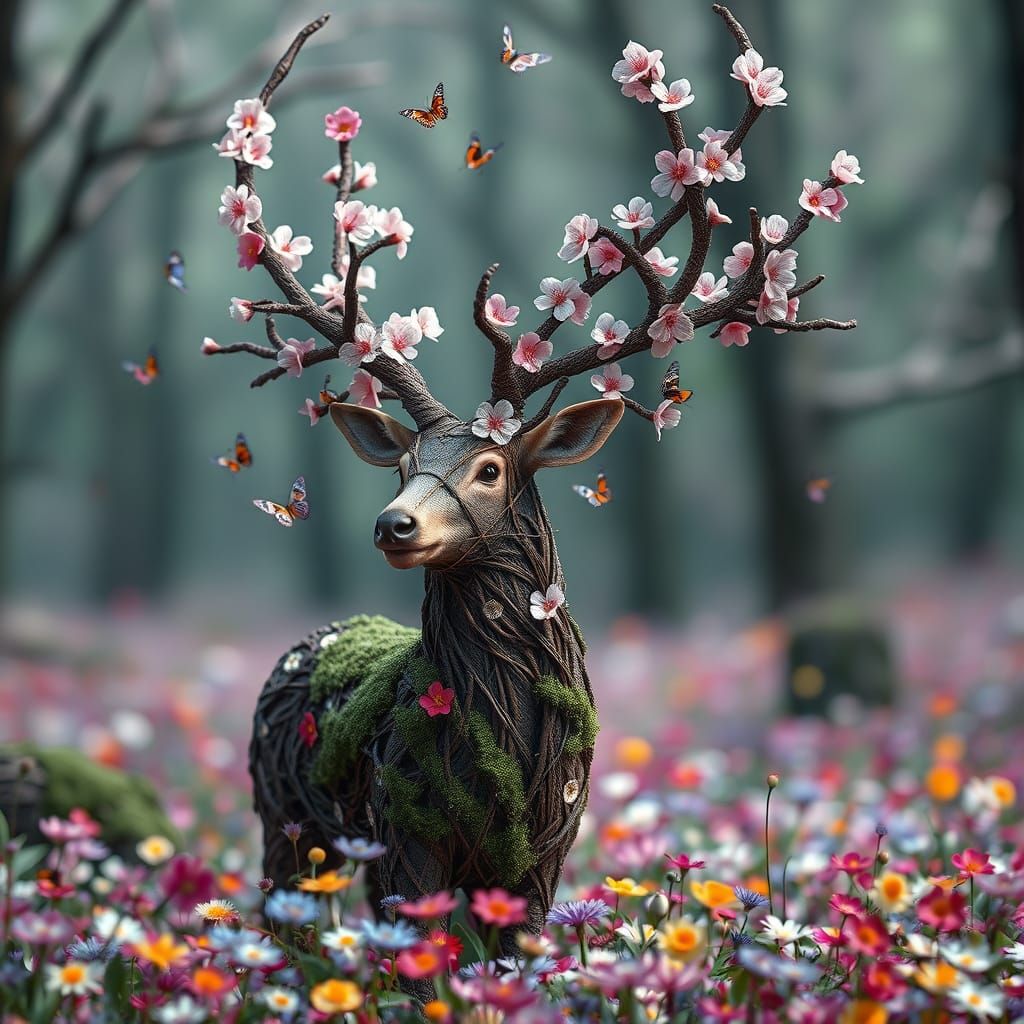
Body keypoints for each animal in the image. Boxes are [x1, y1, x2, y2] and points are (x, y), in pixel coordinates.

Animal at [212, 3, 858, 969]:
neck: (503, 732)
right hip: (281, 810)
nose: (392, 525)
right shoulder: (404, 820)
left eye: (488, 467)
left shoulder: (549, 840)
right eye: (402, 465)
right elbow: (423, 958)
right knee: (282, 906)